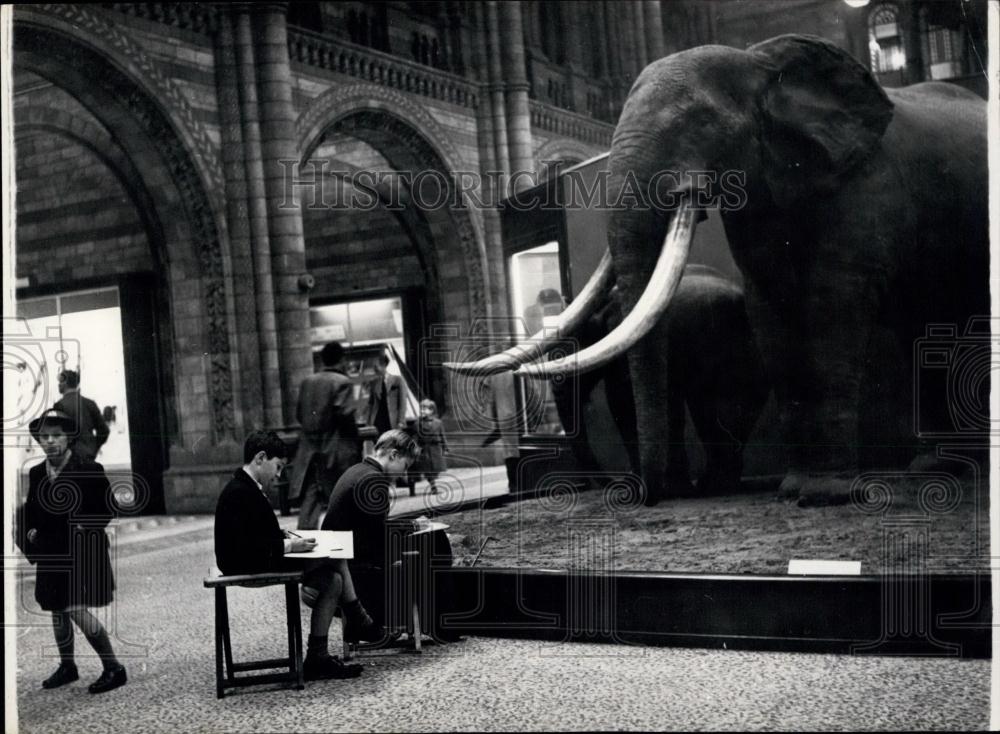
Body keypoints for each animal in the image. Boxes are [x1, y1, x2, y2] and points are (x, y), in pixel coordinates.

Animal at [552, 262, 768, 498]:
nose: (614, 482)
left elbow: (623, 402)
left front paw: (653, 489)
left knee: (722, 410)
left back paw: (715, 486)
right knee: (713, 411)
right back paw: (712, 485)